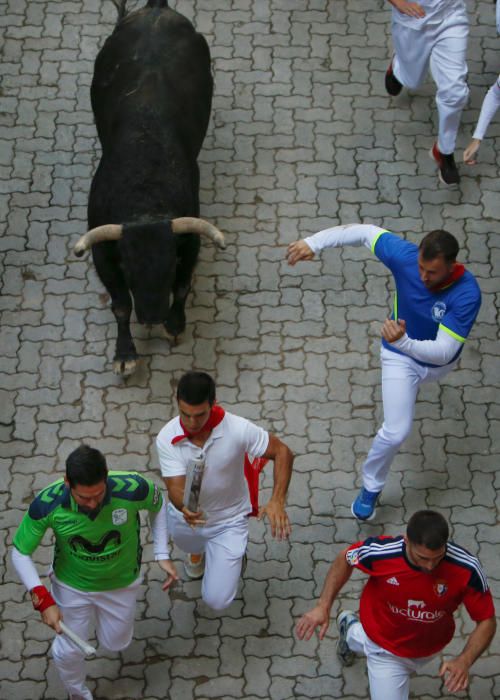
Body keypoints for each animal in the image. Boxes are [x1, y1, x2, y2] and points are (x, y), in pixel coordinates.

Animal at [74, 0, 225, 378]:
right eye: (129, 268)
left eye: (169, 265)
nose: (154, 315)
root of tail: (157, 8)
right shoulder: (104, 257)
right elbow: (120, 305)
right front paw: (125, 353)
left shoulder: (190, 243)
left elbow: (183, 286)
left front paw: (174, 324)